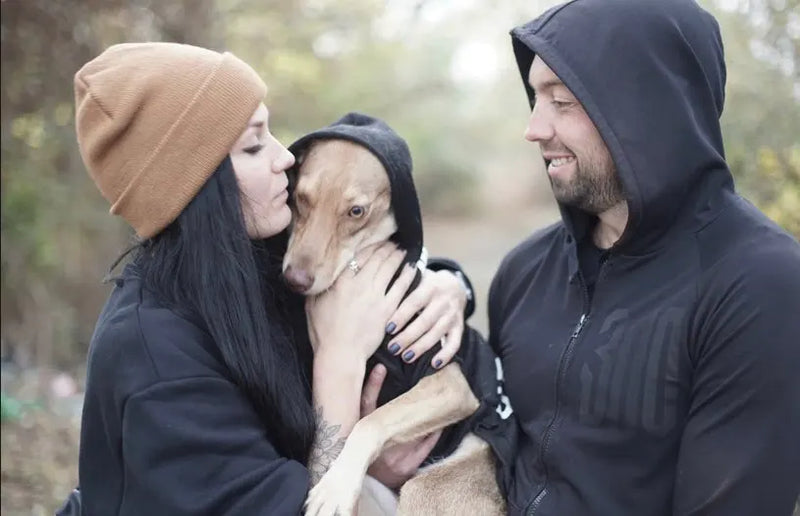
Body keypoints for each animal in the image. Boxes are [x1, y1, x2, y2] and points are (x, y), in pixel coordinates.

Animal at [282, 122, 506, 516]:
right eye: (300, 197)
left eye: (357, 211)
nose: (295, 280)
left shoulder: (450, 384)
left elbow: (371, 421)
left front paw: (335, 487)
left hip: (424, 489)